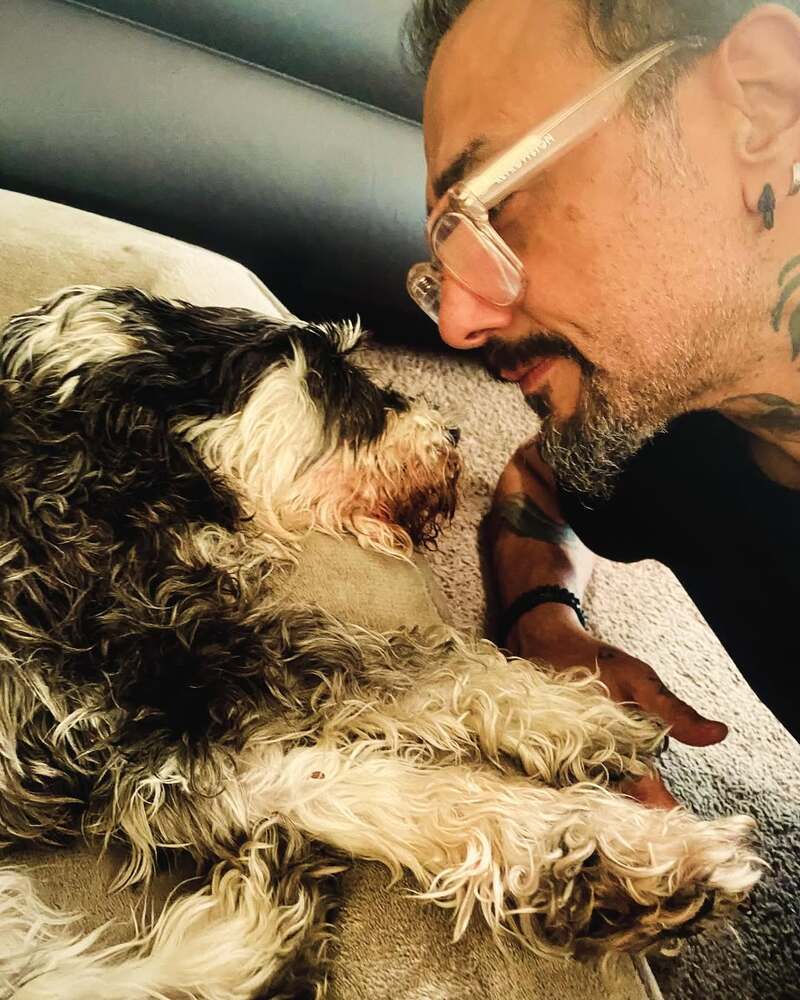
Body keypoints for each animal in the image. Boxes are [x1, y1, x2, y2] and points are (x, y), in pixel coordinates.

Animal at [0, 286, 762, 1000]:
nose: (451, 431)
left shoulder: (167, 736)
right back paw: (261, 917)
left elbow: (382, 752)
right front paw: (633, 829)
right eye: (336, 375)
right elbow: (423, 688)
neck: (98, 460)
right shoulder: (181, 687)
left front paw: (600, 848)